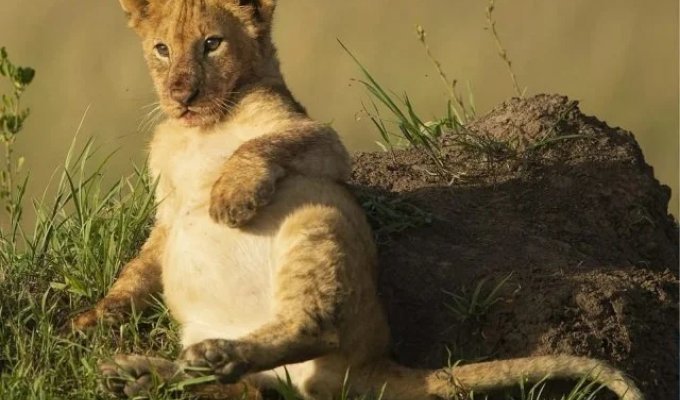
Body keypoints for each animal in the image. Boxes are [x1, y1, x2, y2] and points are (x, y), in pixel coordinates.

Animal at [71, 1, 644, 399]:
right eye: (161, 50)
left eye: (212, 43)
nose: (181, 95)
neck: (198, 130)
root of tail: (375, 361)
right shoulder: (165, 217)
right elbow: (136, 271)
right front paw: (92, 321)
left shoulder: (323, 142)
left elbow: (262, 144)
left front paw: (232, 197)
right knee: (250, 384)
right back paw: (148, 372)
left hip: (316, 219)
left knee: (314, 327)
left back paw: (206, 358)